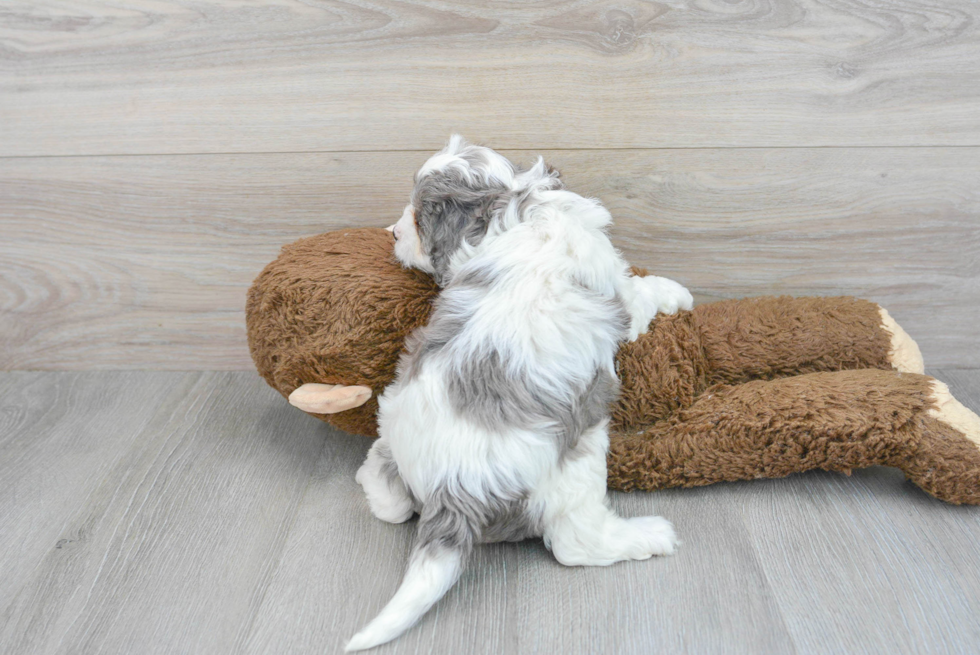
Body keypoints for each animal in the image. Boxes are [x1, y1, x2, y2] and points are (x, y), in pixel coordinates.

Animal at [348, 135, 692, 652]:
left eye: (418, 217)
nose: (392, 234)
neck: (515, 207)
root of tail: (453, 490)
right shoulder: (618, 292)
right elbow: (641, 293)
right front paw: (676, 292)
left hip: (393, 418)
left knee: (388, 495)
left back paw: (373, 480)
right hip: (578, 459)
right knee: (575, 543)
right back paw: (648, 536)